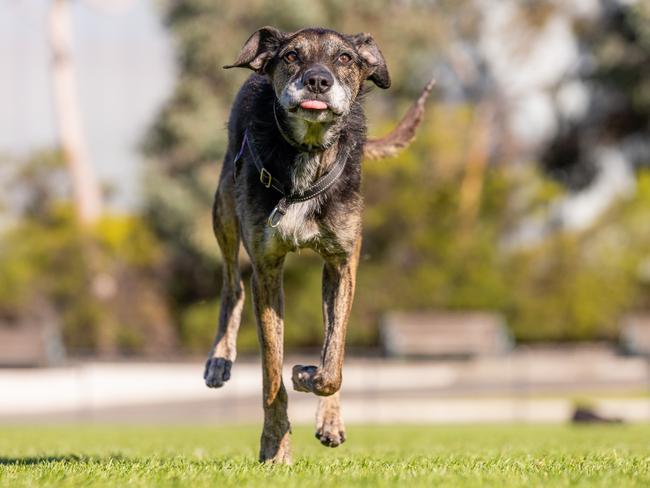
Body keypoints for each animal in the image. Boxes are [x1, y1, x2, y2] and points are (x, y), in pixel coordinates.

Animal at [205, 27, 432, 466]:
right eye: (292, 55)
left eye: (344, 58)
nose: (317, 81)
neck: (308, 156)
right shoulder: (267, 270)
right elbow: (271, 374)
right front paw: (275, 446)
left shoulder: (343, 263)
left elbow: (332, 362)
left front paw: (306, 376)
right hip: (223, 208)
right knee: (231, 284)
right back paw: (219, 360)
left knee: (333, 343)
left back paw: (329, 417)